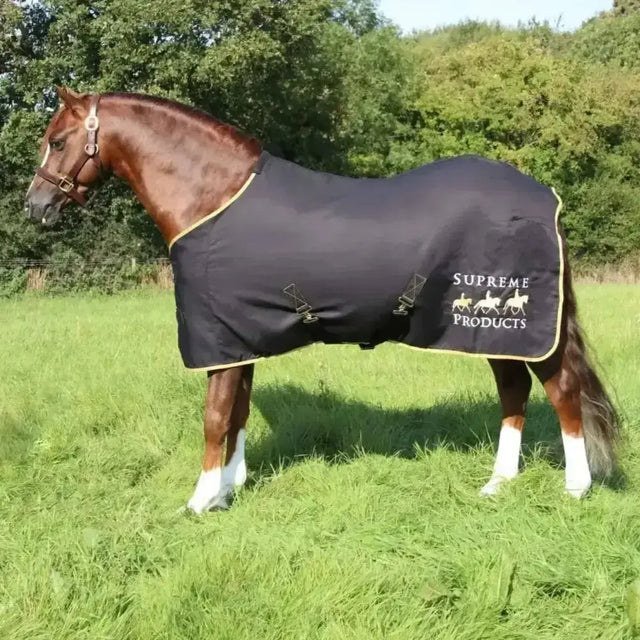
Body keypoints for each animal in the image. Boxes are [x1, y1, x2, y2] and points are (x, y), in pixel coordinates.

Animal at [24, 87, 620, 513]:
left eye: (58, 141)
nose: (35, 206)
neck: (213, 197)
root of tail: (546, 199)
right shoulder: (240, 337)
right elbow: (239, 413)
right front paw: (228, 491)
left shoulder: (217, 341)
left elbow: (215, 418)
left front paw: (198, 501)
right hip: (487, 331)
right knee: (514, 391)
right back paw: (497, 484)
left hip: (522, 328)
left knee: (562, 391)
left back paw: (575, 488)